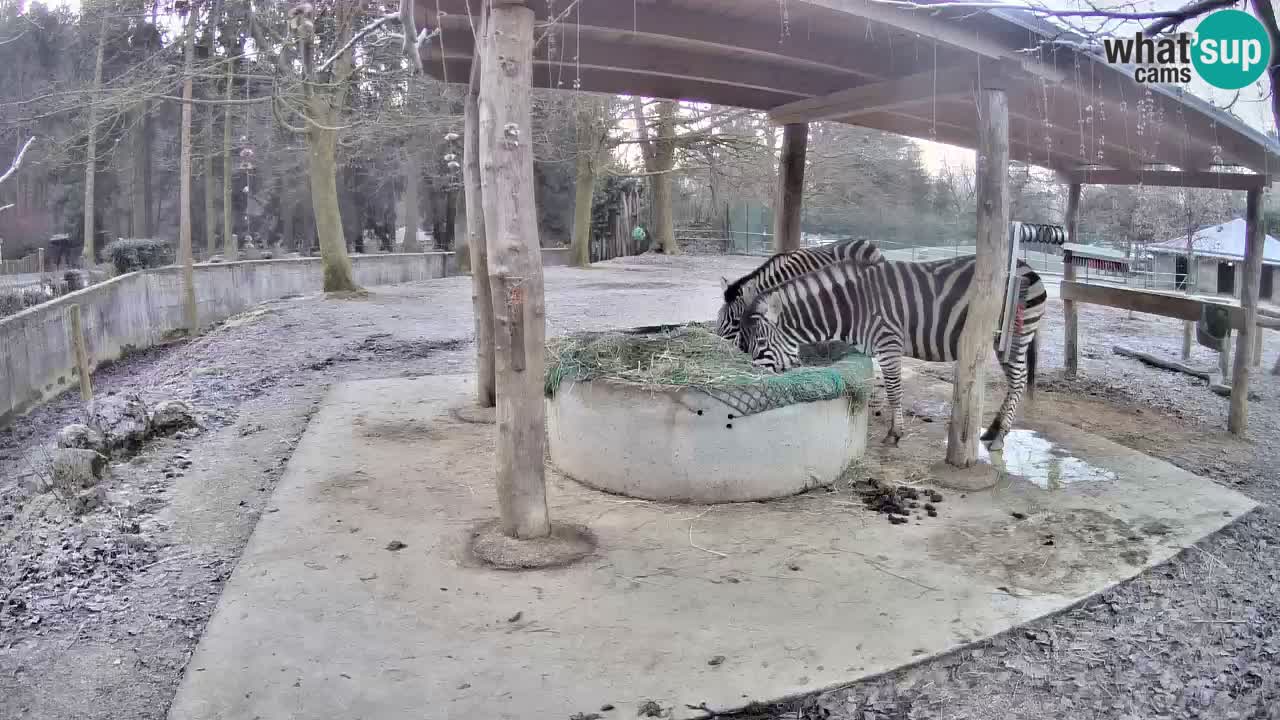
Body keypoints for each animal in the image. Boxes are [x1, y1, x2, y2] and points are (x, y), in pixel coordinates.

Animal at [737, 253, 1044, 448]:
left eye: (760, 343)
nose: (751, 381)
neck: (852, 307)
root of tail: (1026, 265)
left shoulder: (888, 343)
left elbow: (894, 389)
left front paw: (895, 433)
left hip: (1016, 336)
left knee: (1018, 381)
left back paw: (1000, 436)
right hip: (1001, 343)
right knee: (1013, 382)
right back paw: (992, 430)